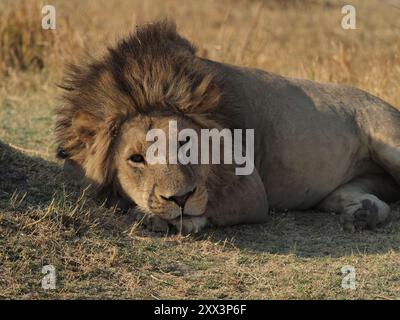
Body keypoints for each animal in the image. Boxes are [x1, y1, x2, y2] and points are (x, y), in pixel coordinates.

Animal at [55, 21, 400, 234]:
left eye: (186, 145)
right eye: (136, 159)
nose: (180, 198)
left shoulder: (253, 192)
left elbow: (210, 207)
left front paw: (157, 217)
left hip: (389, 142)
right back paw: (363, 214)